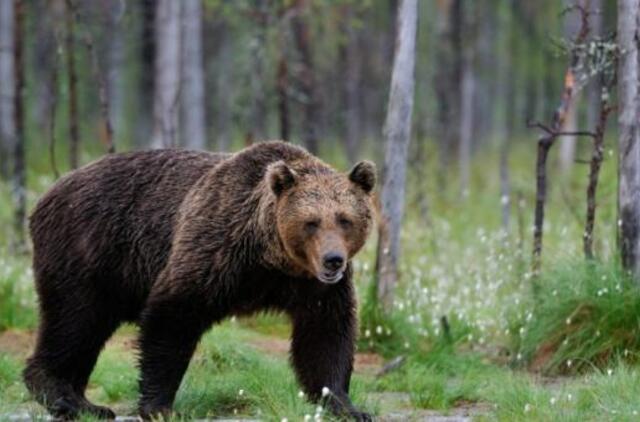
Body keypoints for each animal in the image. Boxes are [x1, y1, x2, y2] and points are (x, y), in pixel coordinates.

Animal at [23, 143, 376, 422]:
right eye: (310, 222)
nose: (333, 259)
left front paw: (346, 406)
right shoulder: (217, 249)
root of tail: (47, 192)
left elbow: (325, 335)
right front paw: (160, 406)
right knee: (74, 321)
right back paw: (65, 398)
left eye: (345, 219)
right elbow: (173, 314)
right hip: (87, 250)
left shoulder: (313, 286)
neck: (271, 258)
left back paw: (85, 403)